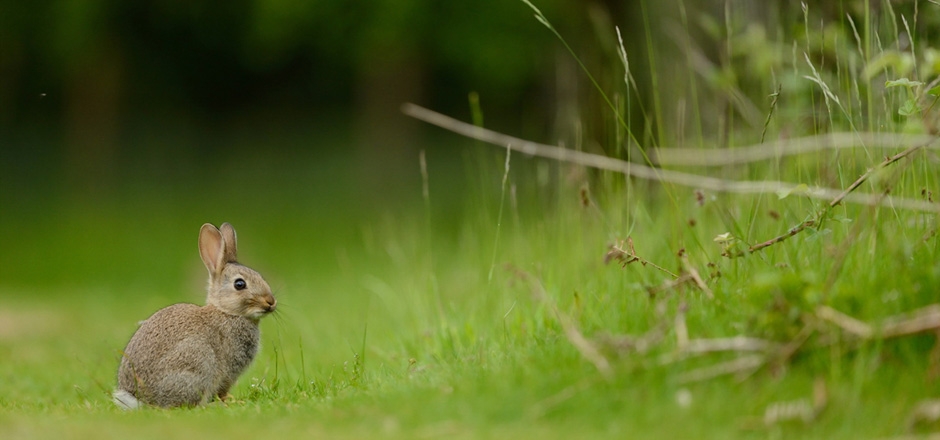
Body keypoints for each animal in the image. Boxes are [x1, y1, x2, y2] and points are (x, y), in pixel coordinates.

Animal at [113, 223, 276, 410]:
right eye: (240, 284)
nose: (271, 302)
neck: (226, 311)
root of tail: (142, 400)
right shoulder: (227, 372)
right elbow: (223, 390)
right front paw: (230, 402)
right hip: (198, 361)